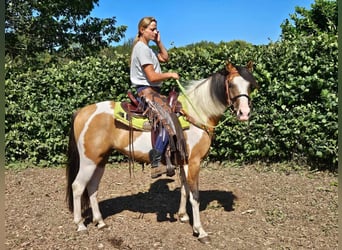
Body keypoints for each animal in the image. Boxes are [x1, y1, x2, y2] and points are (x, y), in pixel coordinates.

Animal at [66, 61, 256, 244]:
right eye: (231, 84)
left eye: (249, 86)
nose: (244, 113)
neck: (197, 113)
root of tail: (82, 112)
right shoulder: (194, 161)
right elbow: (194, 195)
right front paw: (200, 231)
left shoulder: (183, 162)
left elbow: (184, 189)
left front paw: (183, 216)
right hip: (89, 161)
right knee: (77, 186)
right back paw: (80, 225)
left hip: (100, 159)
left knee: (92, 187)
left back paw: (100, 222)